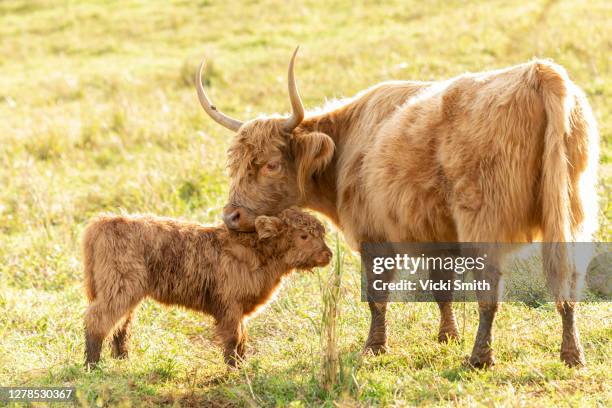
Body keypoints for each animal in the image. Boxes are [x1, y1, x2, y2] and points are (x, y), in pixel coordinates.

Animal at [82, 207, 330, 366]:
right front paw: (233, 369)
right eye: (304, 236)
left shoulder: (239, 309)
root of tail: (104, 221)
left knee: (121, 325)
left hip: (124, 290)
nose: (328, 254)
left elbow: (243, 337)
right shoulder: (230, 305)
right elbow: (233, 338)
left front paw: (242, 365)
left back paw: (122, 360)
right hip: (120, 286)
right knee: (98, 319)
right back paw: (92, 365)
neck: (259, 254)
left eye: (322, 234)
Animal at [195, 47, 596, 366]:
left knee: (490, 294)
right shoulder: (439, 236)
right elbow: (442, 288)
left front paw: (374, 347)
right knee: (569, 281)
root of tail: (538, 71)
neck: (345, 147)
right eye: (234, 165)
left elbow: (377, 297)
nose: (231, 216)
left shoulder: (374, 237)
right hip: (573, 212)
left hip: (484, 221)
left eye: (271, 164)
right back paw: (571, 354)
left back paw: (480, 359)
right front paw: (447, 337)